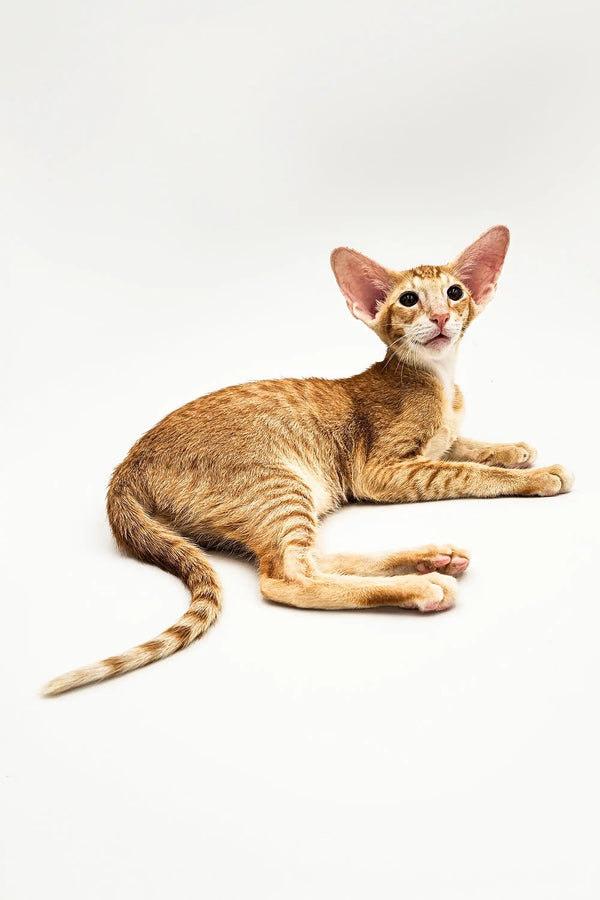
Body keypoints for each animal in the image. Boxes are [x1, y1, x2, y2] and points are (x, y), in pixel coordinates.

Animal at [42, 225, 572, 696]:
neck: (437, 378)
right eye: (408, 299)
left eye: (455, 292)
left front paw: (513, 450)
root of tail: (126, 466)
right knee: (288, 577)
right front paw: (535, 475)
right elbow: (463, 472)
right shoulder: (381, 471)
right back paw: (420, 586)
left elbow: (460, 446)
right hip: (278, 484)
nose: (442, 316)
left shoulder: (436, 441)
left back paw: (427, 557)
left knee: (313, 558)